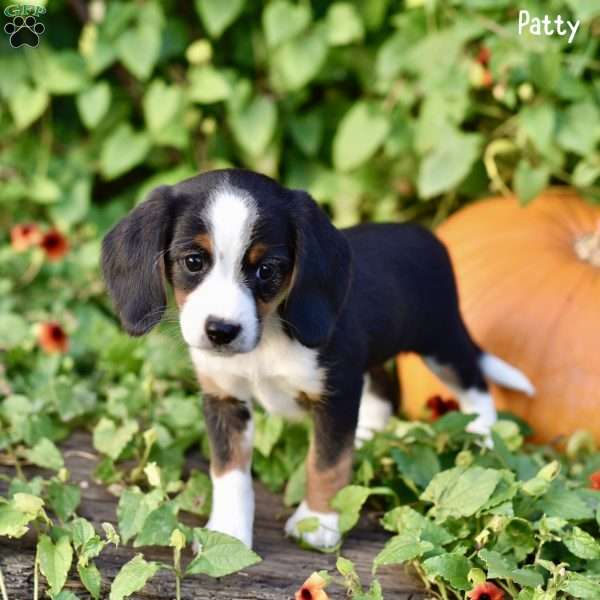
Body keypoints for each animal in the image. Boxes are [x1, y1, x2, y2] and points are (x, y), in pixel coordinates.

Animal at [99, 168, 536, 548]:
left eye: (267, 269)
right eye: (193, 261)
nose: (221, 331)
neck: (266, 339)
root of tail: (426, 236)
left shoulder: (336, 392)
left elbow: (326, 463)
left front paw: (318, 521)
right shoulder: (224, 398)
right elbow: (230, 472)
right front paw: (227, 535)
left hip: (441, 341)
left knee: (475, 386)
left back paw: (484, 439)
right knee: (381, 390)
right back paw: (367, 434)